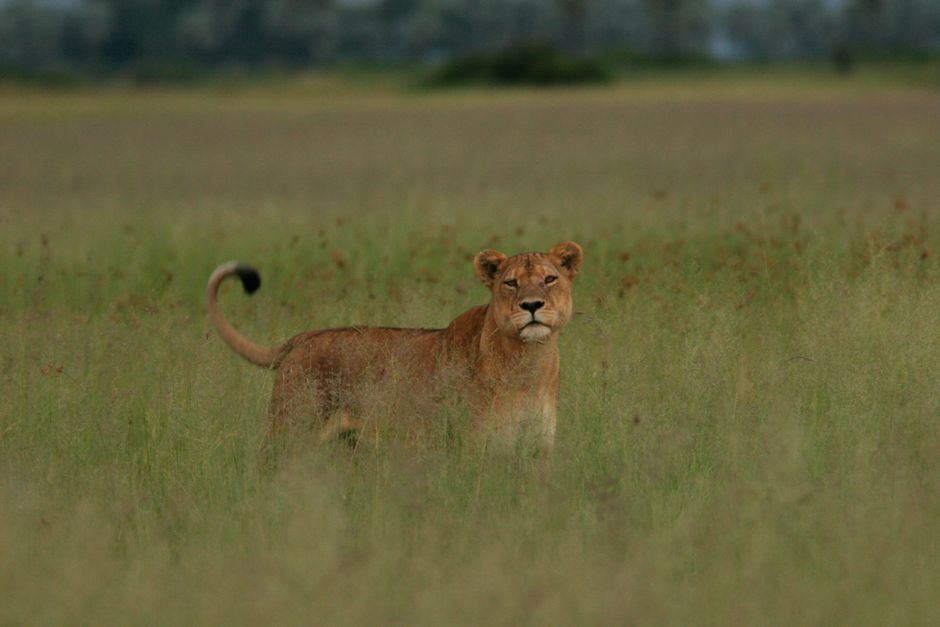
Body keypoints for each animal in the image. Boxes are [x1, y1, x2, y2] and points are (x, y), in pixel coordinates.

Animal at [206, 241, 583, 456]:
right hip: (290, 430)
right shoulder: (474, 447)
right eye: (511, 283)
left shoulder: (538, 449)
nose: (531, 305)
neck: (528, 362)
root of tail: (304, 337)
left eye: (549, 279)